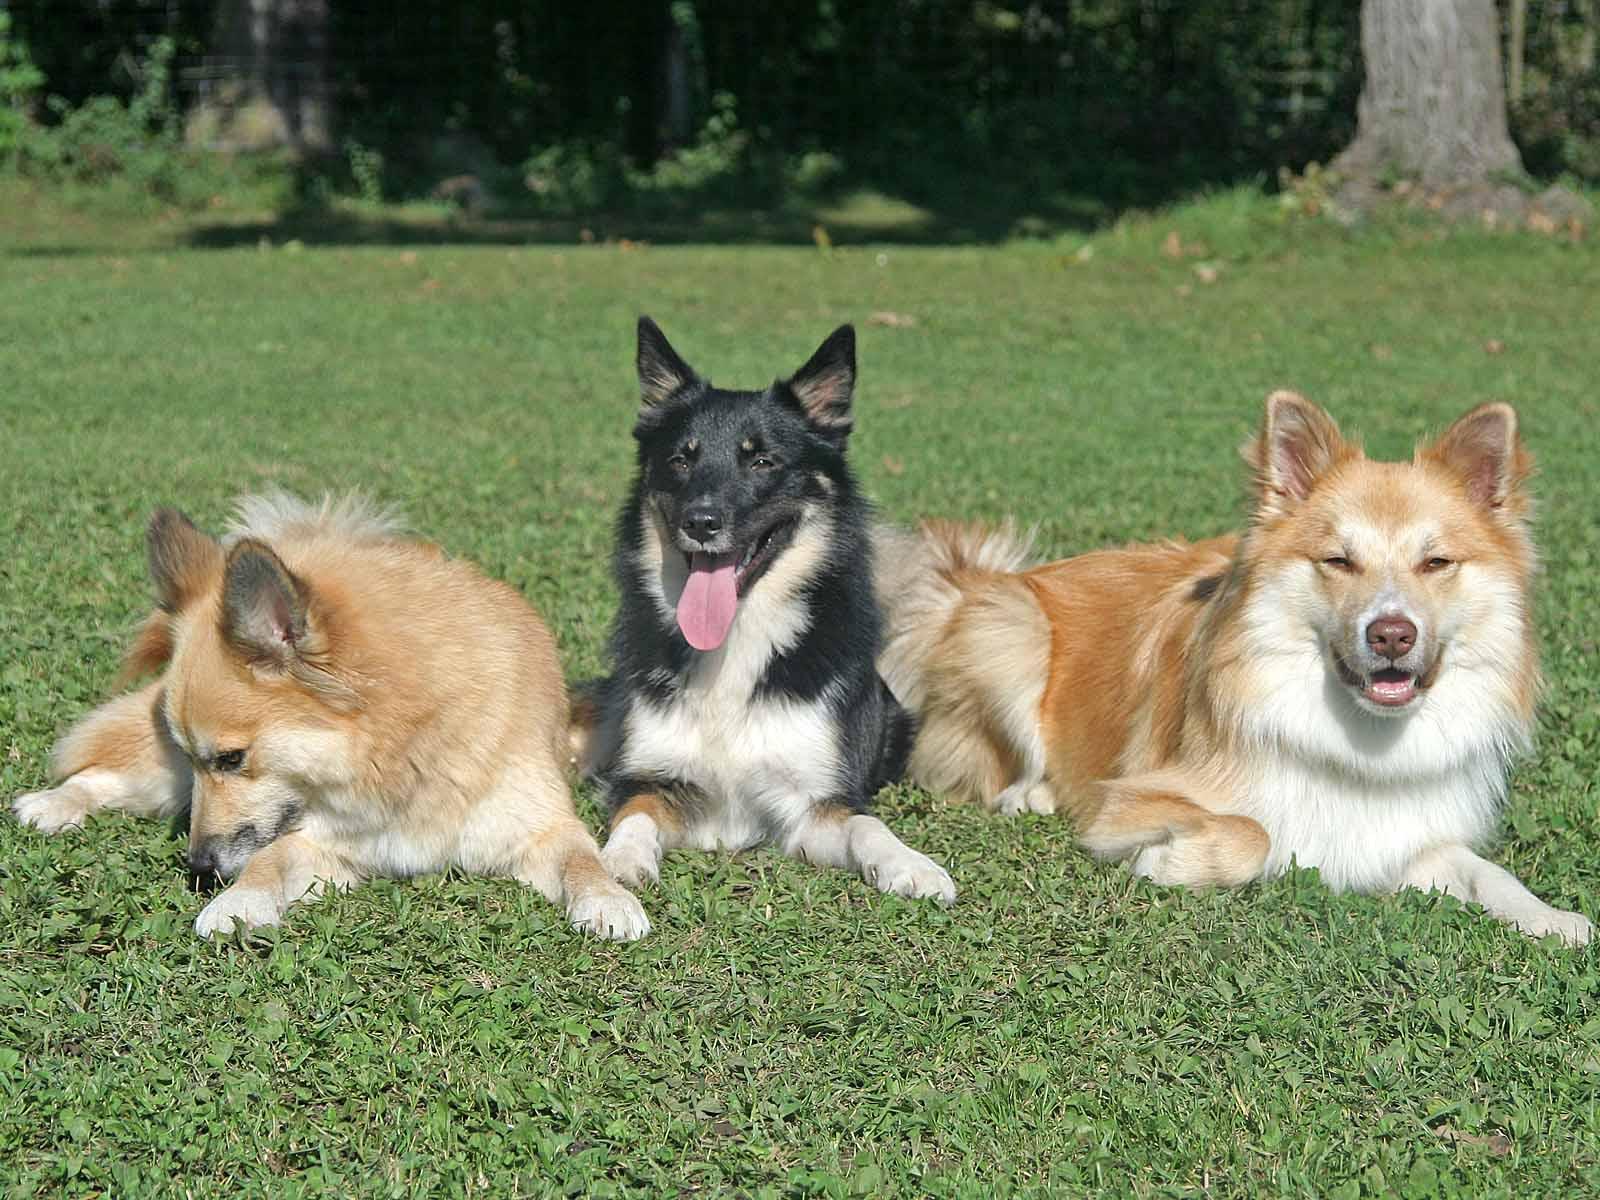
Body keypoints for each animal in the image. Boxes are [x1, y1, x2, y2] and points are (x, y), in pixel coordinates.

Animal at [10, 492, 649, 947]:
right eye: (202, 760)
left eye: (232, 760)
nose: (198, 868)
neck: (406, 745)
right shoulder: (320, 845)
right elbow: (268, 860)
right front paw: (238, 903)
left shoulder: (540, 824)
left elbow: (582, 858)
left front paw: (608, 899)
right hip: (157, 775)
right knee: (105, 772)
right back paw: (53, 803)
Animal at [572, 316, 947, 902]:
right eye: (681, 459)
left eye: (763, 461)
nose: (701, 522)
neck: (735, 638)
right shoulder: (653, 778)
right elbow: (633, 813)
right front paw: (617, 864)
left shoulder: (813, 804)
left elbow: (866, 824)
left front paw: (912, 864)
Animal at [883, 390, 1593, 947]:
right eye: (1338, 561)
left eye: (1436, 563)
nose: (1392, 633)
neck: (1357, 736)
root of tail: (972, 580)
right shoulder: (1132, 799)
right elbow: (1255, 833)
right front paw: (1167, 861)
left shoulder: (1411, 840)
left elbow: (1486, 871)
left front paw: (1553, 918)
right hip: (1012, 630)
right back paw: (1030, 791)